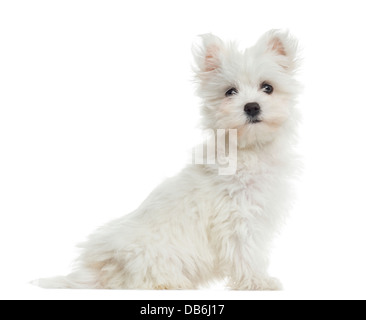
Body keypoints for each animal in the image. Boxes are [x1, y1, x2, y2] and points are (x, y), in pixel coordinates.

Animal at [37, 30, 300, 290]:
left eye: (268, 87)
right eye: (230, 92)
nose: (252, 107)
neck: (249, 150)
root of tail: (98, 273)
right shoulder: (237, 219)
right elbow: (245, 254)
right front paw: (259, 282)